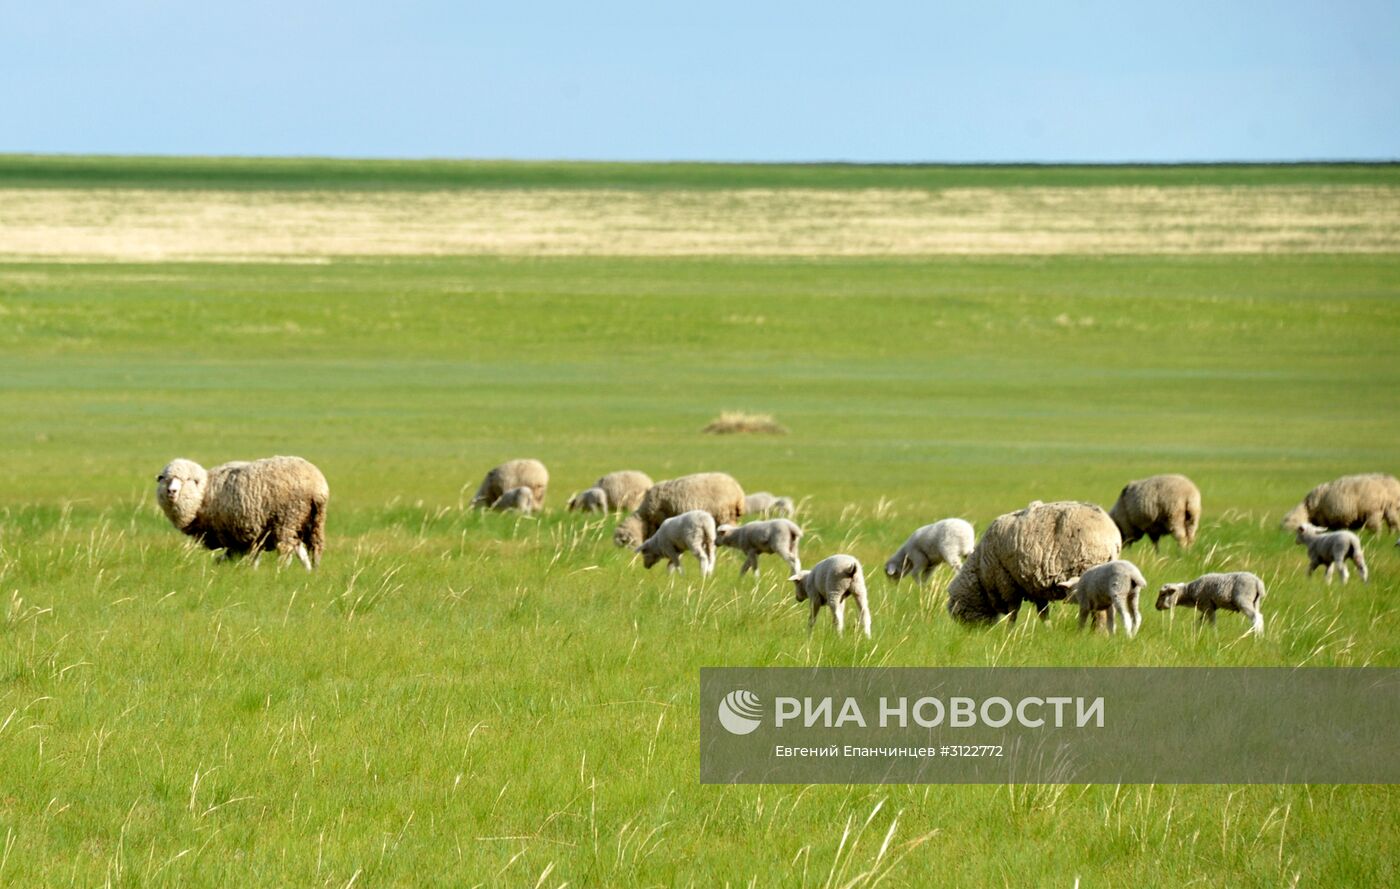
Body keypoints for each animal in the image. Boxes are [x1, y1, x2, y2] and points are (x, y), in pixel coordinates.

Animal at [946, 501, 1120, 627]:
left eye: (960, 615)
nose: (972, 634)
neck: (980, 571)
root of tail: (1112, 535)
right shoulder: (1035, 586)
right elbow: (1043, 613)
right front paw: (1049, 629)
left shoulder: (1007, 583)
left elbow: (1013, 612)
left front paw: (1009, 631)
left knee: (1100, 612)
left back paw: (1097, 633)